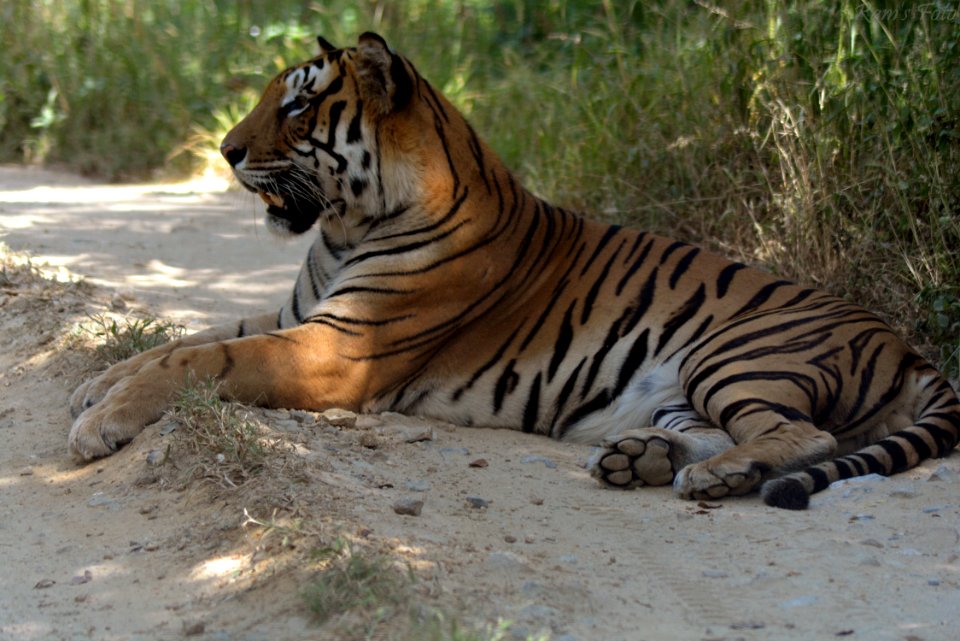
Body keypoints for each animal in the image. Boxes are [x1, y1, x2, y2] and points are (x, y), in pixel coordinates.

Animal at [71, 32, 960, 508]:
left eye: (295, 106)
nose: (225, 150)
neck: (348, 225)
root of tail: (910, 348)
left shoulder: (337, 348)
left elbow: (205, 356)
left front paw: (98, 421)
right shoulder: (296, 317)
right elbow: (189, 337)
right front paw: (98, 382)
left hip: (735, 353)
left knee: (803, 432)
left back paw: (716, 475)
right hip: (682, 389)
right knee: (727, 429)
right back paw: (640, 459)